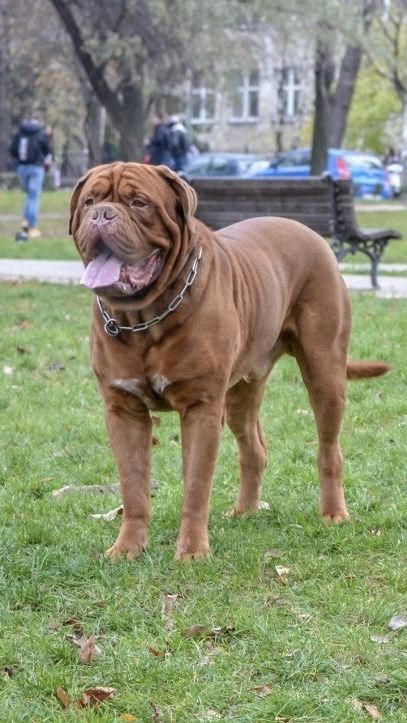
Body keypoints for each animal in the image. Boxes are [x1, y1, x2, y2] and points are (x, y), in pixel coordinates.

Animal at [70, 163, 392, 560]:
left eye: (139, 202)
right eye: (89, 201)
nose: (102, 214)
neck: (143, 319)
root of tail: (308, 231)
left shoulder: (201, 407)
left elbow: (196, 486)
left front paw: (192, 552)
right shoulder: (123, 410)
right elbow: (133, 487)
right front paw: (128, 548)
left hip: (325, 372)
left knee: (329, 449)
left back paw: (333, 514)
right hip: (241, 393)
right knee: (254, 449)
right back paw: (245, 511)